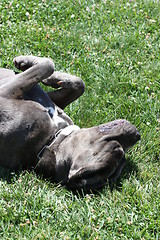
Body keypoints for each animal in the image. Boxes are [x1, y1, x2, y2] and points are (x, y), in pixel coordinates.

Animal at [0, 55, 140, 190]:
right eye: (117, 147)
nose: (137, 135)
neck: (50, 139)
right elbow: (78, 84)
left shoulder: (6, 91)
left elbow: (48, 65)